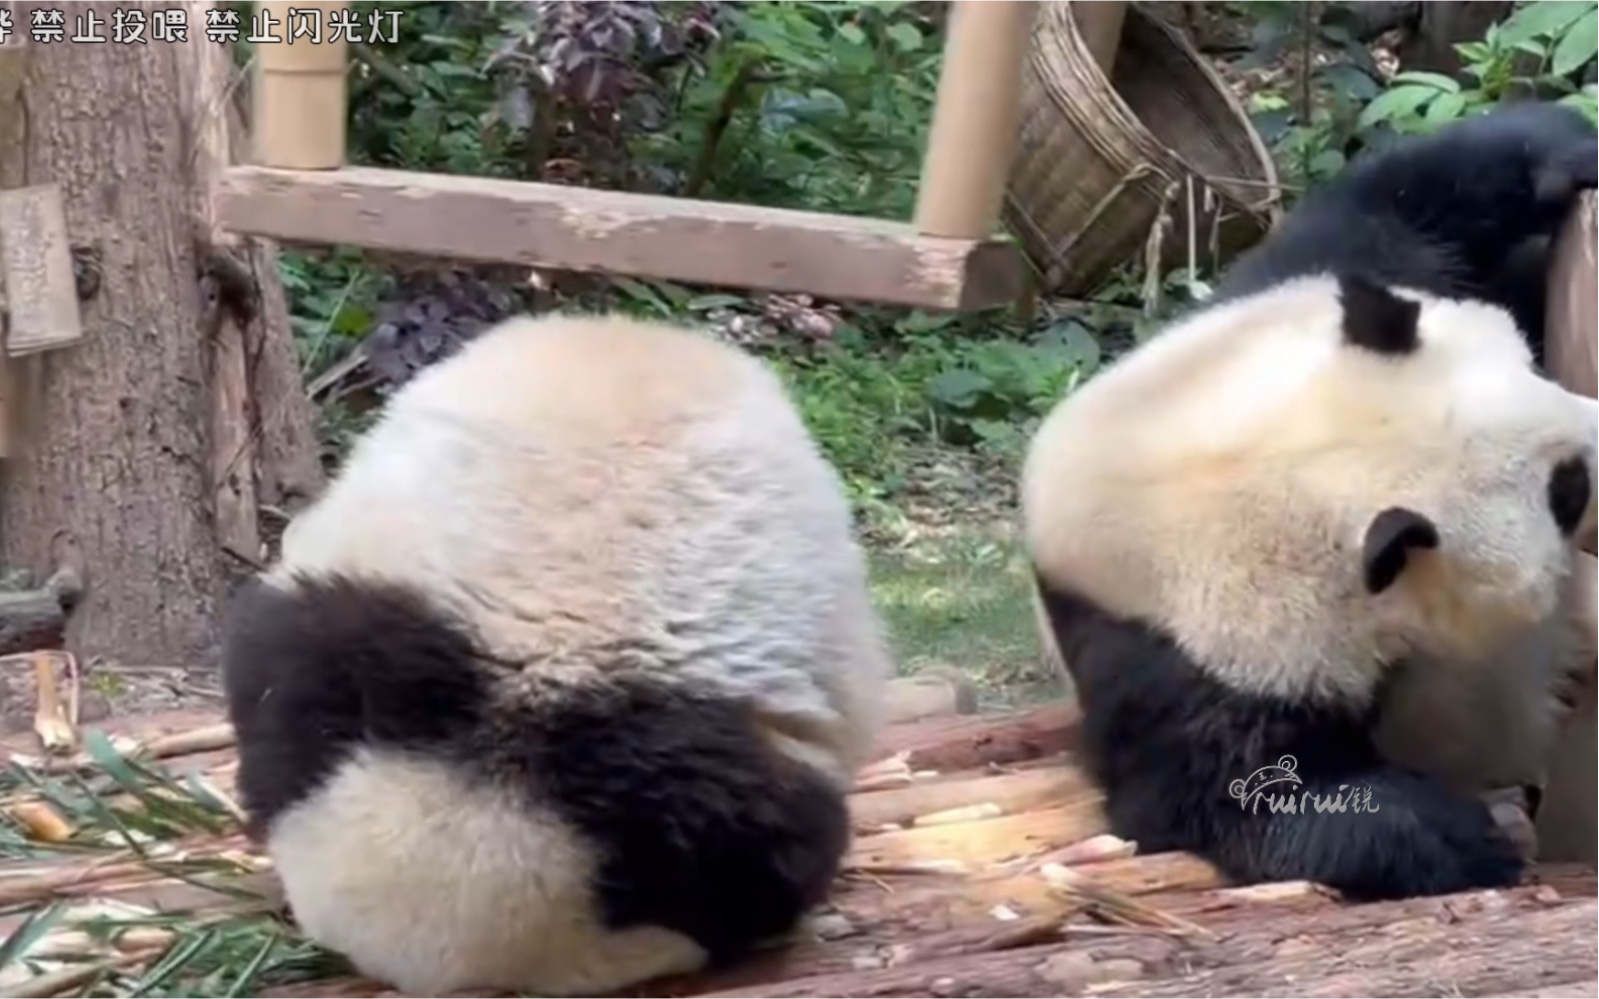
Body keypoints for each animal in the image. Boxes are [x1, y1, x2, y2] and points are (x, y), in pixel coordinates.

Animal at [1023, 99, 1599, 895]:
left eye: (1540, 376)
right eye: (1565, 491)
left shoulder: (1271, 307)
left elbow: (1400, 204)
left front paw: (1567, 151)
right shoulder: (1181, 654)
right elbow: (1224, 790)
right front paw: (1459, 836)